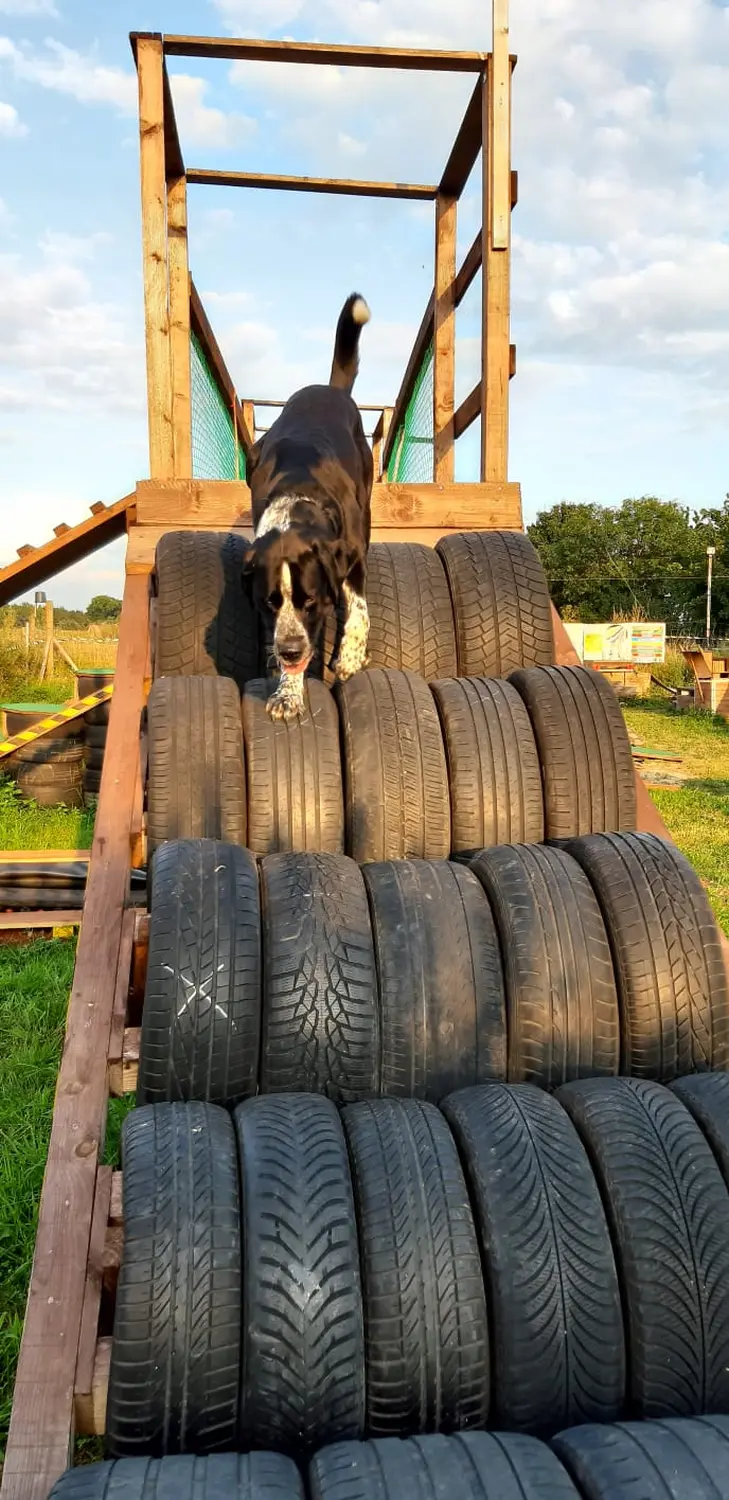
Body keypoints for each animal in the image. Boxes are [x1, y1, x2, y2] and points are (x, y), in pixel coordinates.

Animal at [241, 291, 373, 720]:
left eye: (309, 601)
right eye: (269, 603)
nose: (290, 650)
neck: (297, 498)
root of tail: (329, 389)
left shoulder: (352, 554)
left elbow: (358, 610)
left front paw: (348, 657)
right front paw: (288, 693)